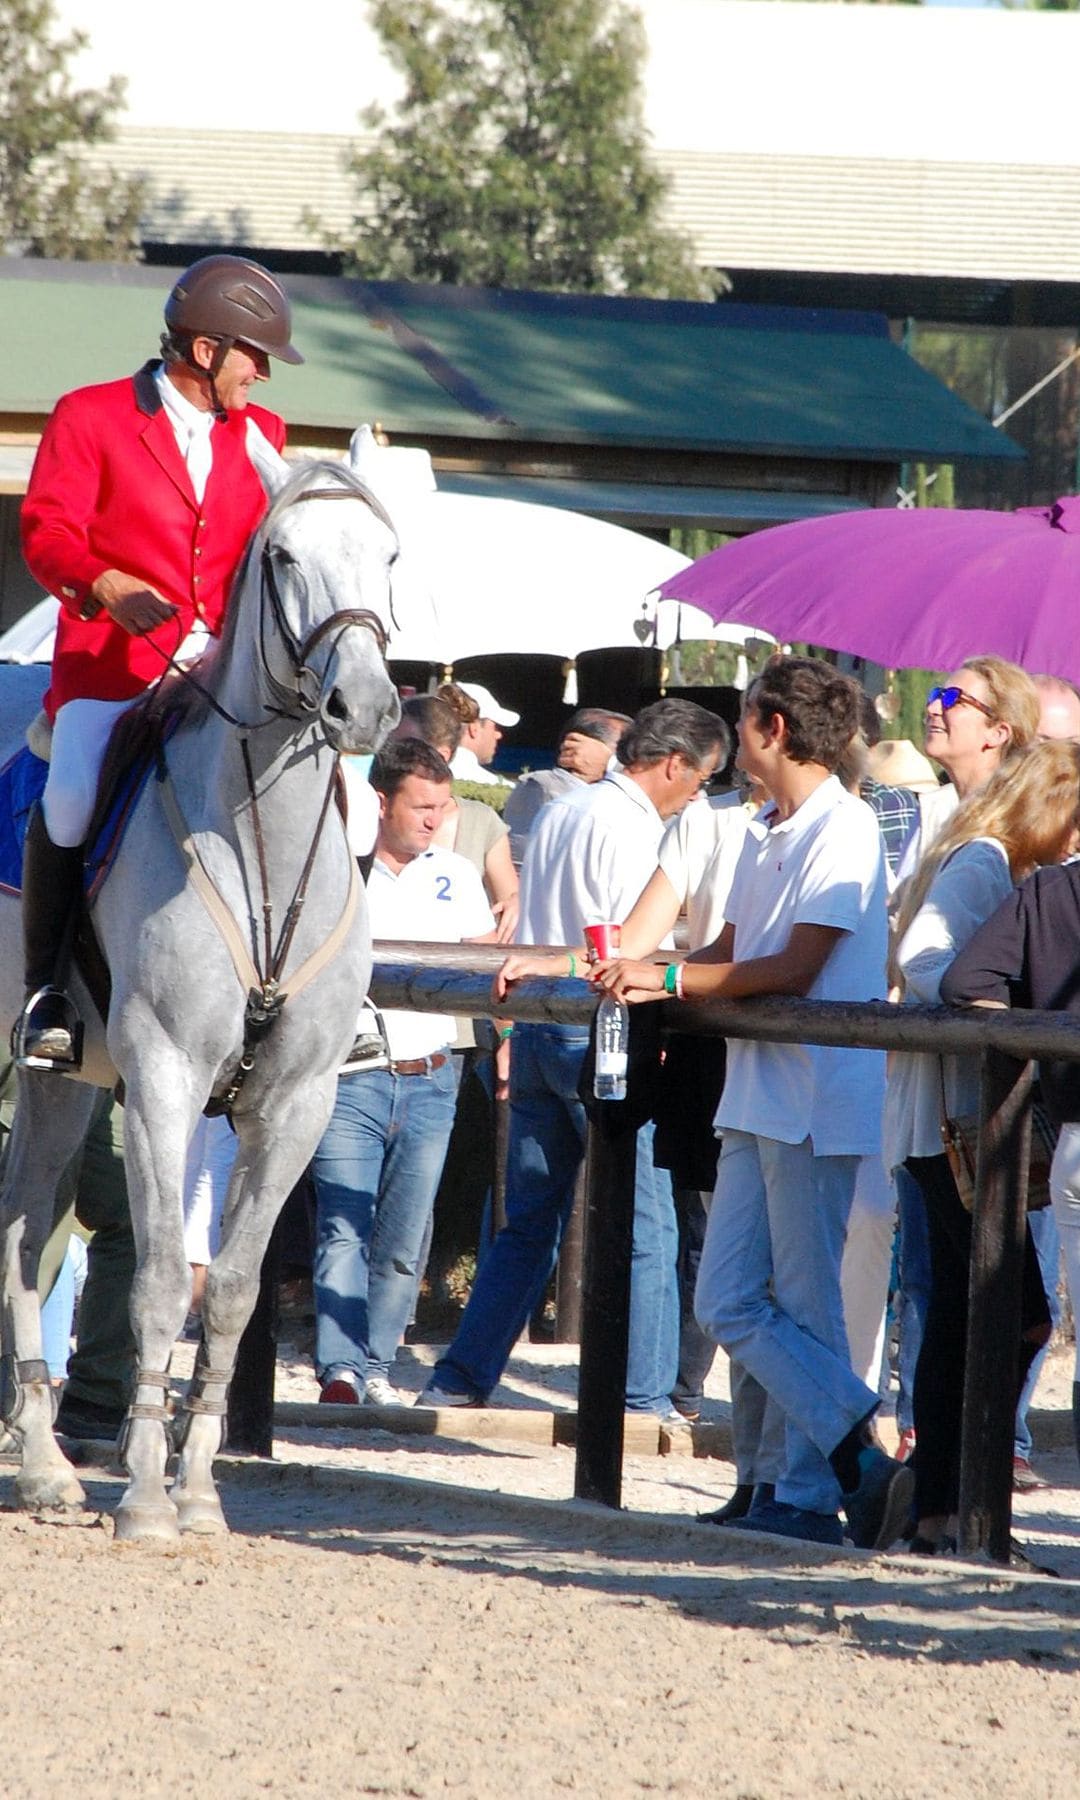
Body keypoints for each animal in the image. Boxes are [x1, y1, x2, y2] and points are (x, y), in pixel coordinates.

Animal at [0, 428, 401, 1540]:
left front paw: (198, 1492)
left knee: (24, 1221)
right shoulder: (165, 1080)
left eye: (390, 557)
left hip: (59, 1081)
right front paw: (143, 1495)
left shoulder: (295, 1103)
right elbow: (151, 1287)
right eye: (285, 557)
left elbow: (226, 1290)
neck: (261, 846)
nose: (364, 708)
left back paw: (44, 1466)